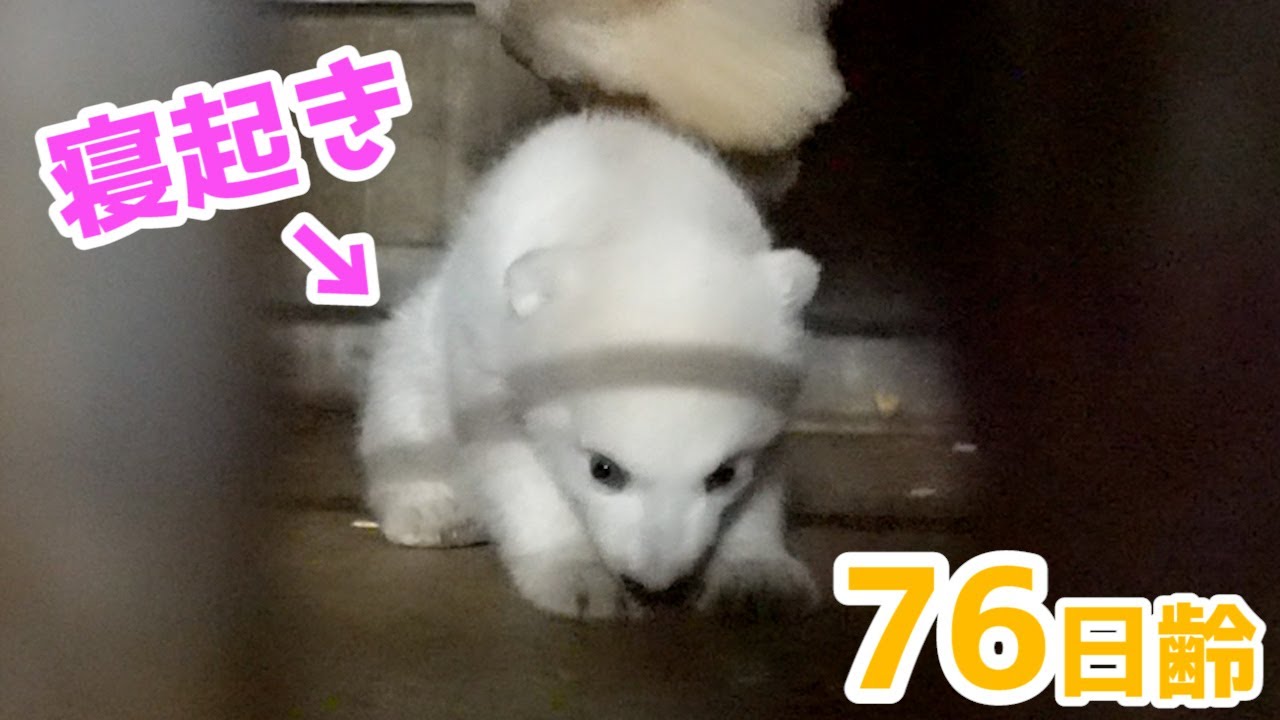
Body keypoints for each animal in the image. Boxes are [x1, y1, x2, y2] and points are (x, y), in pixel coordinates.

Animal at [358, 112, 821, 620]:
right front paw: (579, 579)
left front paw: (757, 577)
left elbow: (764, 480)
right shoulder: (488, 354)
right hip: (414, 354)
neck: (642, 210)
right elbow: (515, 469)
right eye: (604, 469)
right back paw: (434, 510)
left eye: (723, 474)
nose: (655, 581)